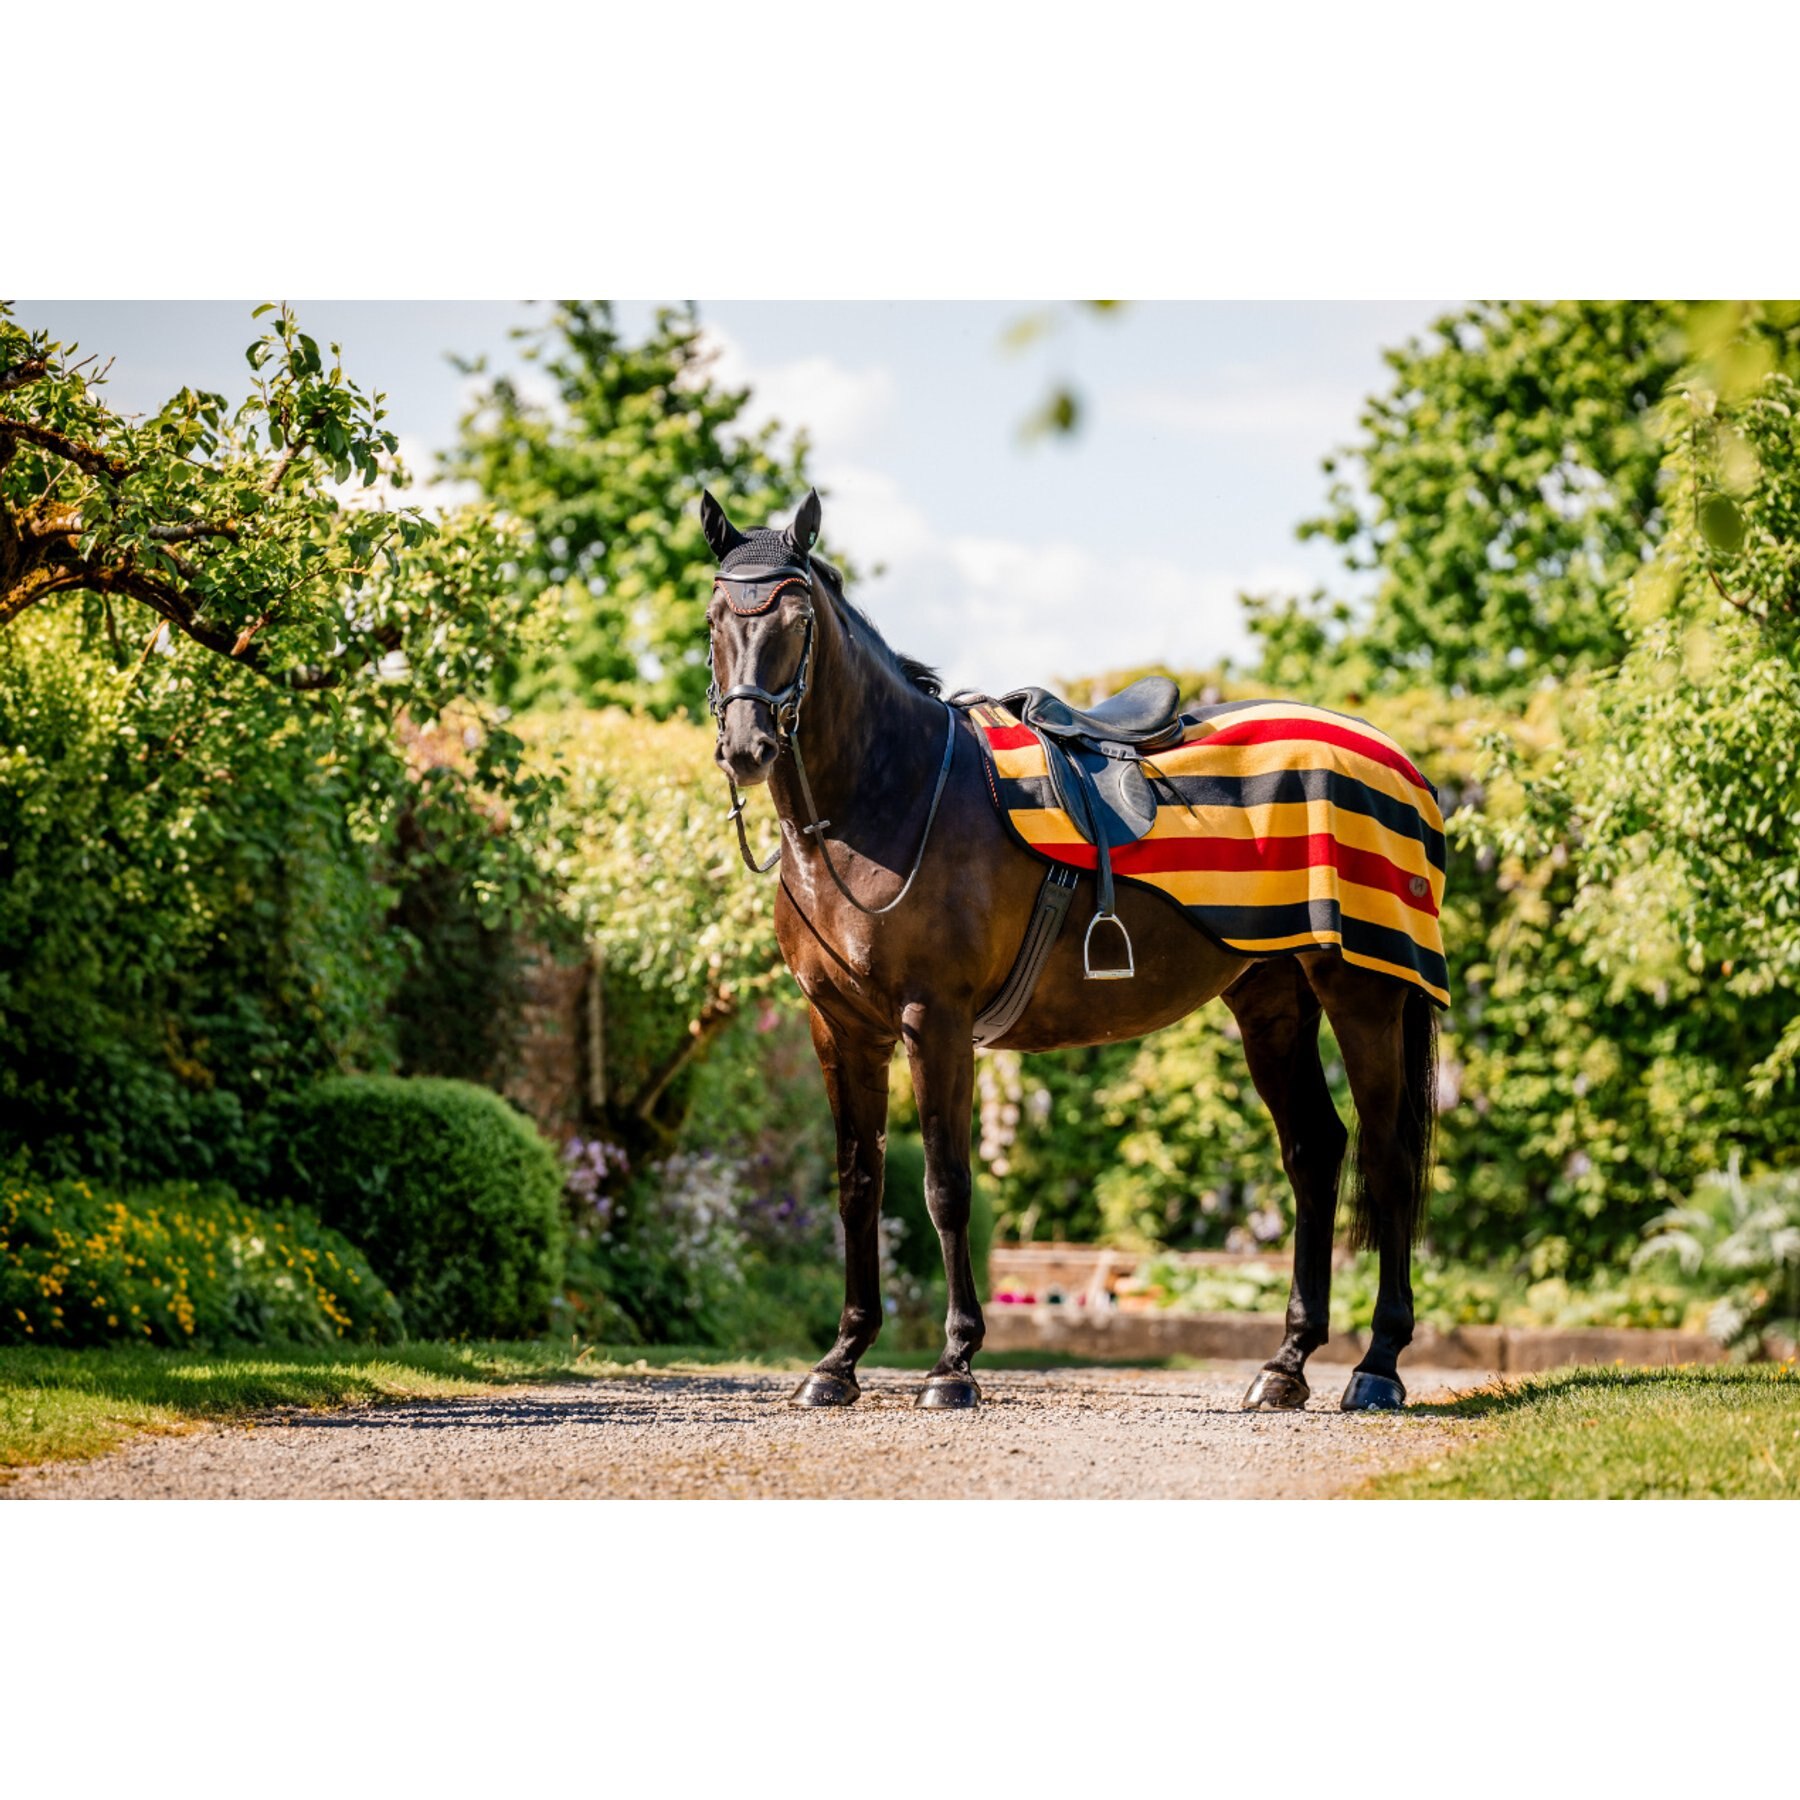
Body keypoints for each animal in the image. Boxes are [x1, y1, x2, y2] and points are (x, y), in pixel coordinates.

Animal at [701, 486, 1441, 1413]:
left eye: (796, 618)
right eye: (716, 615)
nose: (747, 748)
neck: (887, 799)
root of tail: (1400, 765)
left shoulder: (934, 1022)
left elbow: (945, 1187)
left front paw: (953, 1365)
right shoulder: (840, 1028)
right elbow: (858, 1183)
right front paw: (839, 1361)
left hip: (1362, 992)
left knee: (1387, 1158)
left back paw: (1378, 1366)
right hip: (1273, 1000)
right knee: (1315, 1151)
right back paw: (1286, 1366)